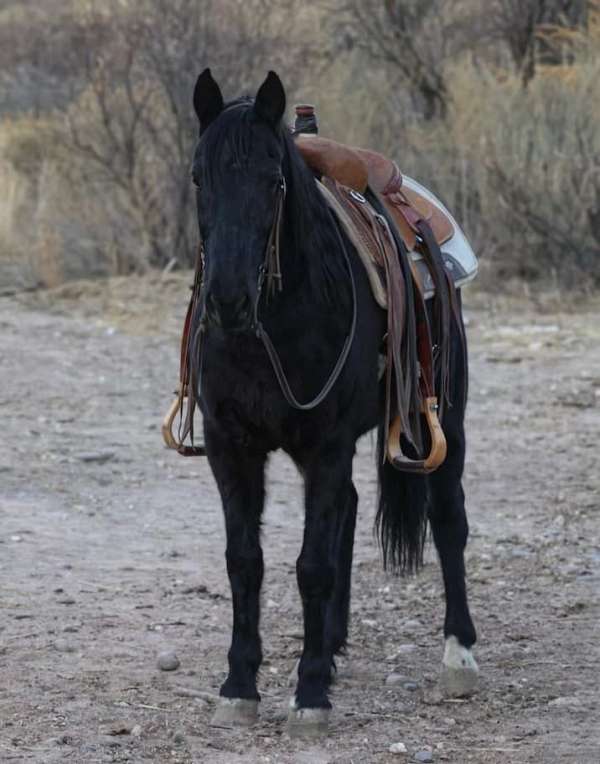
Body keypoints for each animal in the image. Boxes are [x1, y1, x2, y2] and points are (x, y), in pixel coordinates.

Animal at [189, 68, 478, 732]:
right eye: (197, 177)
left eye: (274, 181)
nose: (227, 300)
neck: (272, 330)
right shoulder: (229, 447)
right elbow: (245, 560)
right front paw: (240, 684)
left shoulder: (324, 444)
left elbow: (312, 565)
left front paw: (311, 692)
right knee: (347, 510)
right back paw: (335, 641)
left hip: (445, 420)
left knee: (448, 520)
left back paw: (459, 654)